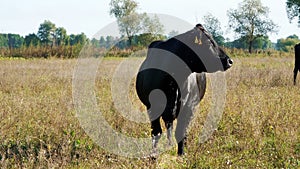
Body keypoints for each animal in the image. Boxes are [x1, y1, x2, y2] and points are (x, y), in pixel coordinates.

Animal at [135, 25, 232, 156]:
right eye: (209, 42)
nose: (229, 61)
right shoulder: (152, 107)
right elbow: (156, 132)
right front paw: (153, 154)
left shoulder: (188, 107)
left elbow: (181, 132)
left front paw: (181, 154)